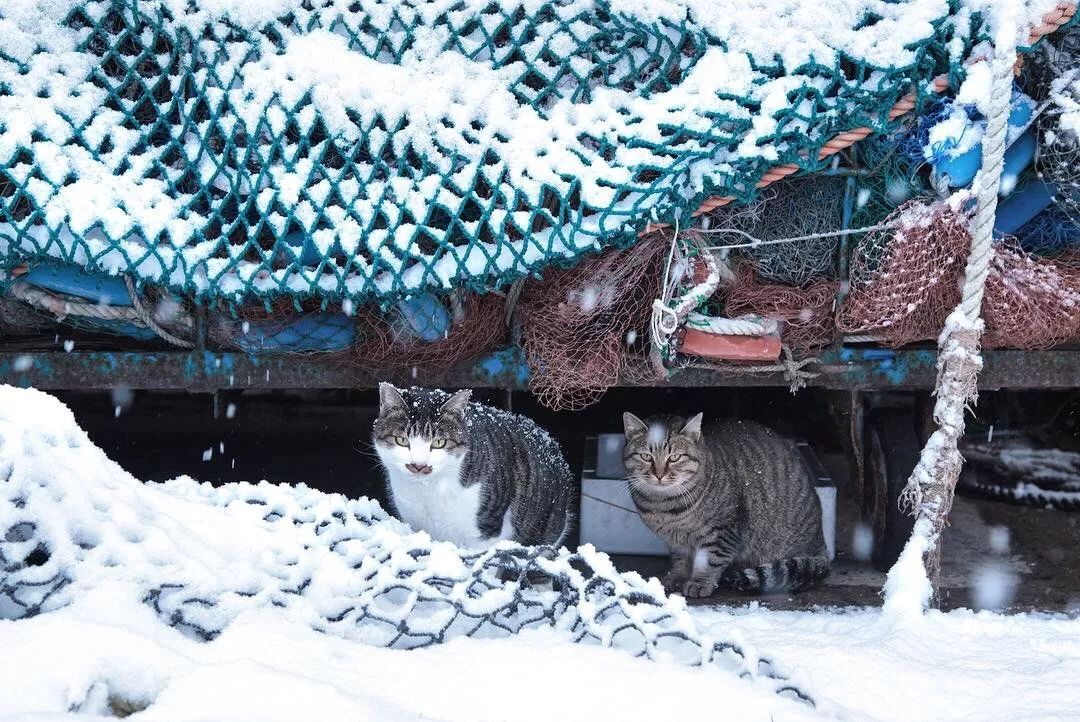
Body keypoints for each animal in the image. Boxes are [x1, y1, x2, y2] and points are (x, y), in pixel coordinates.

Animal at [371, 382, 574, 546]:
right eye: (401, 440)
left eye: (439, 443)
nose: (418, 465)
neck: (427, 491)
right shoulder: (416, 523)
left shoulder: (486, 530)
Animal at [622, 410, 829, 595]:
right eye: (646, 456)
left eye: (674, 457)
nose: (659, 475)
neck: (664, 505)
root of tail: (821, 541)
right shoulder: (675, 542)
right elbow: (680, 561)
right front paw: (677, 578)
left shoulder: (723, 531)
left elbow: (710, 561)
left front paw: (700, 583)